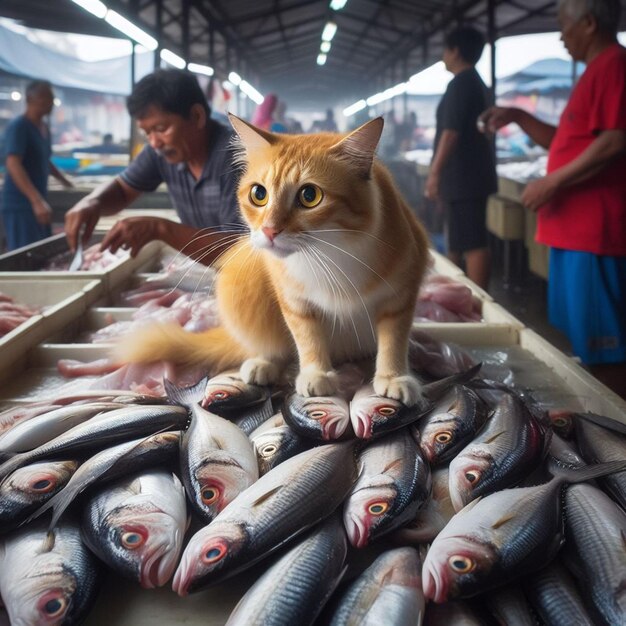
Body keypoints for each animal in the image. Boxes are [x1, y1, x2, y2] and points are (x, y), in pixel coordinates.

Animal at [116, 114, 428, 402]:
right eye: (259, 194)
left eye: (310, 195)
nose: (268, 230)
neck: (330, 253)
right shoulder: (294, 302)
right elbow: (308, 339)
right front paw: (316, 373)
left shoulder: (400, 295)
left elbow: (393, 341)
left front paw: (393, 377)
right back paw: (263, 364)